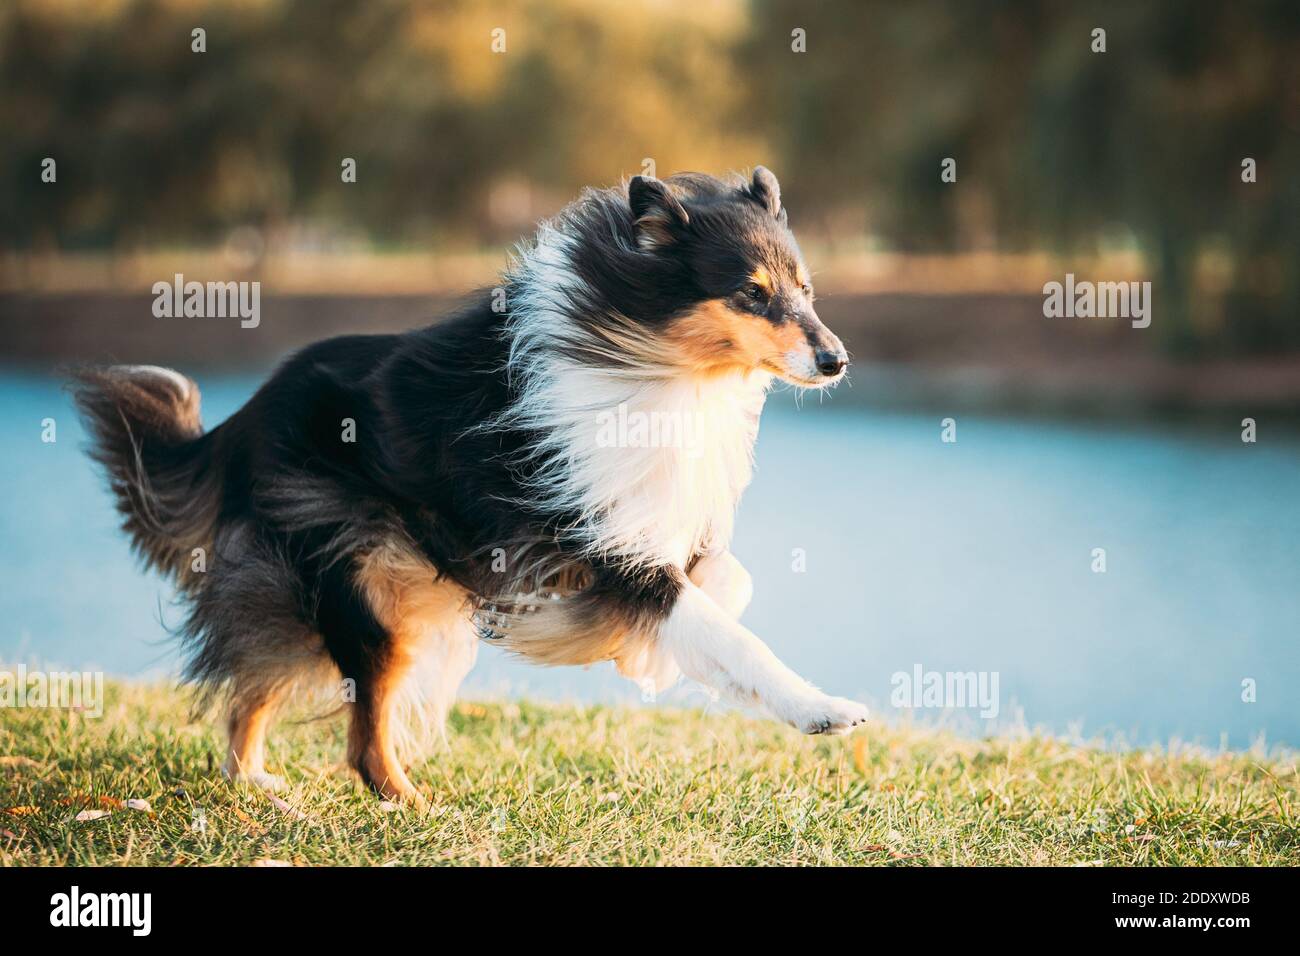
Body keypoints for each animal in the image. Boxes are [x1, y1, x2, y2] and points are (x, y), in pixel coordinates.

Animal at [68, 167, 863, 806]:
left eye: (807, 290)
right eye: (752, 294)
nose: (837, 361)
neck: (655, 362)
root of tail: (244, 418)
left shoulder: (651, 521)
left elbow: (727, 584)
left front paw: (638, 659)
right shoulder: (596, 538)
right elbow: (725, 634)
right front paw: (820, 709)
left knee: (254, 686)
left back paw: (259, 785)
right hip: (363, 584)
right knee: (360, 736)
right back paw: (410, 805)